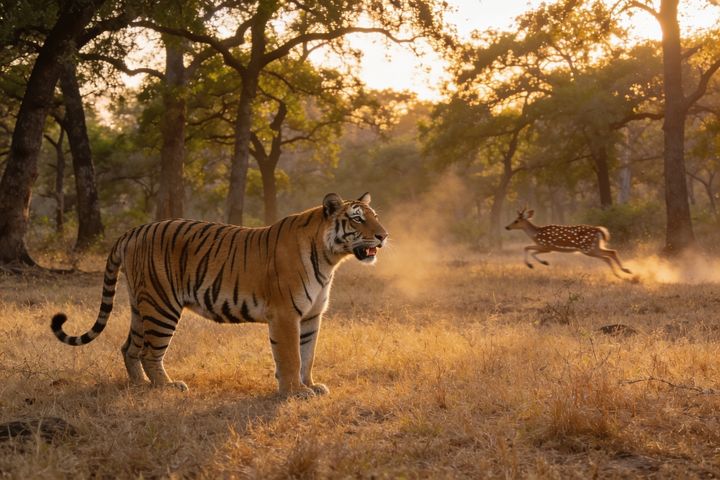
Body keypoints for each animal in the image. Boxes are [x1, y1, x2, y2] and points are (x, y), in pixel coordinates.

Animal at [51, 192, 388, 398]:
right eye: (357, 218)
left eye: (375, 215)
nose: (384, 235)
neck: (331, 258)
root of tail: (133, 231)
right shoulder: (285, 315)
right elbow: (291, 355)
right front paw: (294, 391)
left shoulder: (311, 316)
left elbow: (308, 355)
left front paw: (310, 386)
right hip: (161, 306)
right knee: (149, 352)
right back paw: (168, 387)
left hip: (141, 304)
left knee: (128, 348)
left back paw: (140, 386)